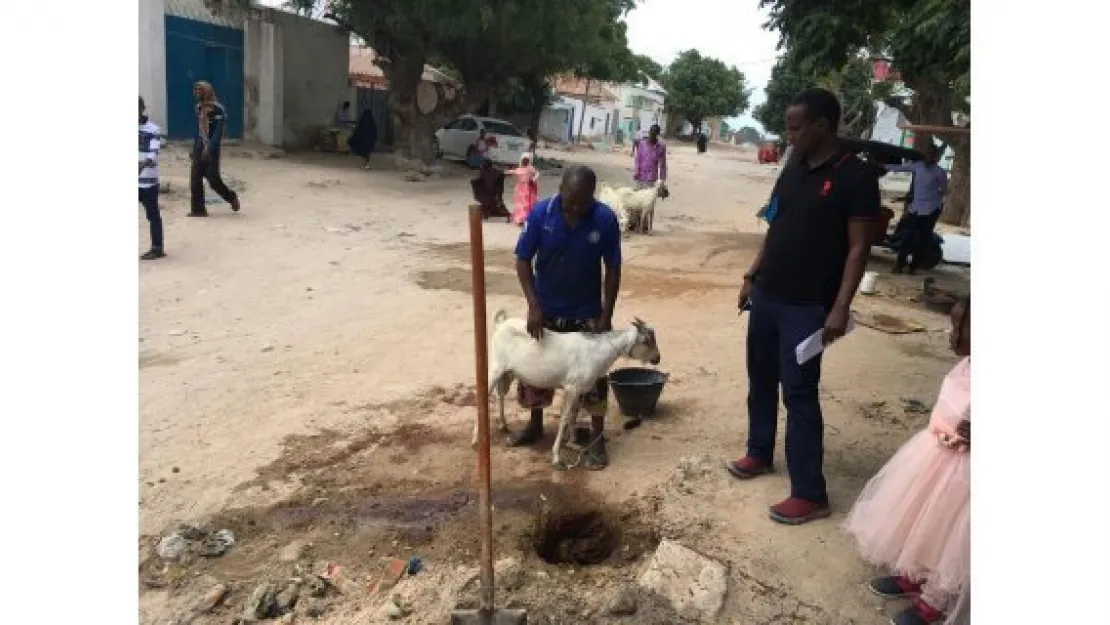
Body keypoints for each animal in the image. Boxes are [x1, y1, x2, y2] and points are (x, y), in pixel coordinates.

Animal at [475, 310, 661, 466]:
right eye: (646, 341)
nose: (657, 359)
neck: (596, 351)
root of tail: (501, 323)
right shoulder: (571, 387)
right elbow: (564, 418)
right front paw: (556, 456)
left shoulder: (579, 389)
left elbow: (573, 415)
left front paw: (573, 443)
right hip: (495, 367)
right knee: (484, 395)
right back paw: (477, 439)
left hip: (508, 372)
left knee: (500, 394)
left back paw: (503, 425)